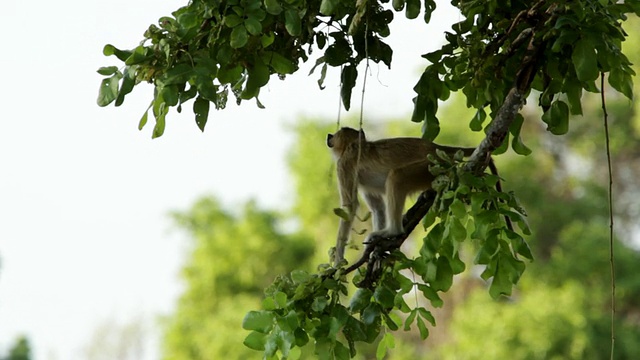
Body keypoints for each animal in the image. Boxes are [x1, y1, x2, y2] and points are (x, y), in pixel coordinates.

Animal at [328, 128, 502, 266]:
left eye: (335, 134)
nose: (329, 136)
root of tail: (436, 147)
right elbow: (378, 208)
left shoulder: (343, 164)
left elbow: (349, 208)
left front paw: (337, 264)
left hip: (429, 165)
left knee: (397, 176)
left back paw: (393, 231)